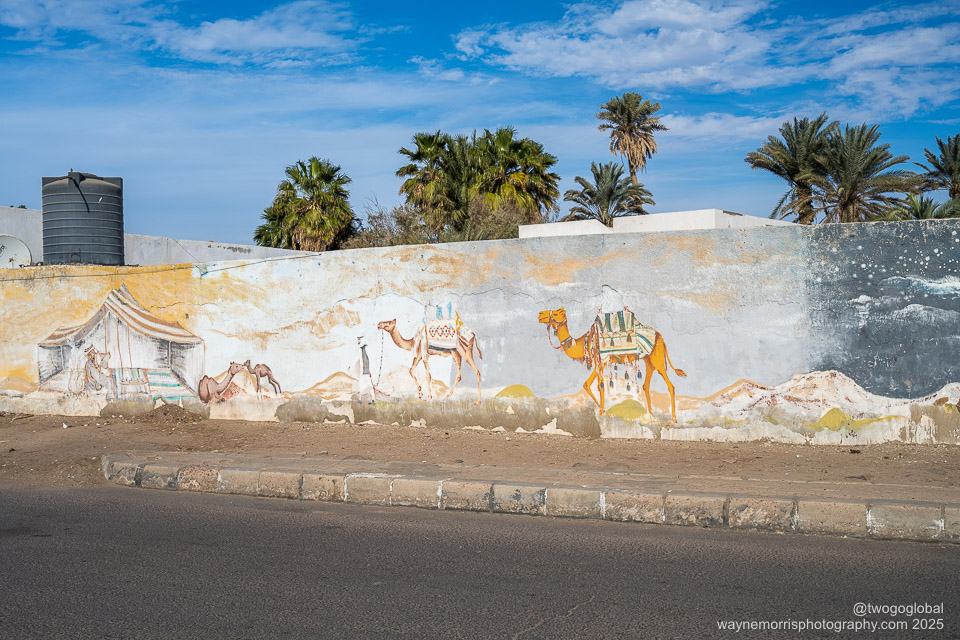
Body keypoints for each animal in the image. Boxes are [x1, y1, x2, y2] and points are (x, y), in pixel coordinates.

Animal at [536, 308, 688, 422]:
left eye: (556, 313)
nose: (540, 314)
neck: (584, 341)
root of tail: (661, 337)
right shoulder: (600, 363)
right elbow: (590, 384)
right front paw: (602, 410)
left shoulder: (601, 361)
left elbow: (597, 386)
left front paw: (602, 412)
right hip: (648, 360)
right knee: (646, 385)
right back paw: (651, 417)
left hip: (658, 358)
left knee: (670, 385)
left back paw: (672, 421)